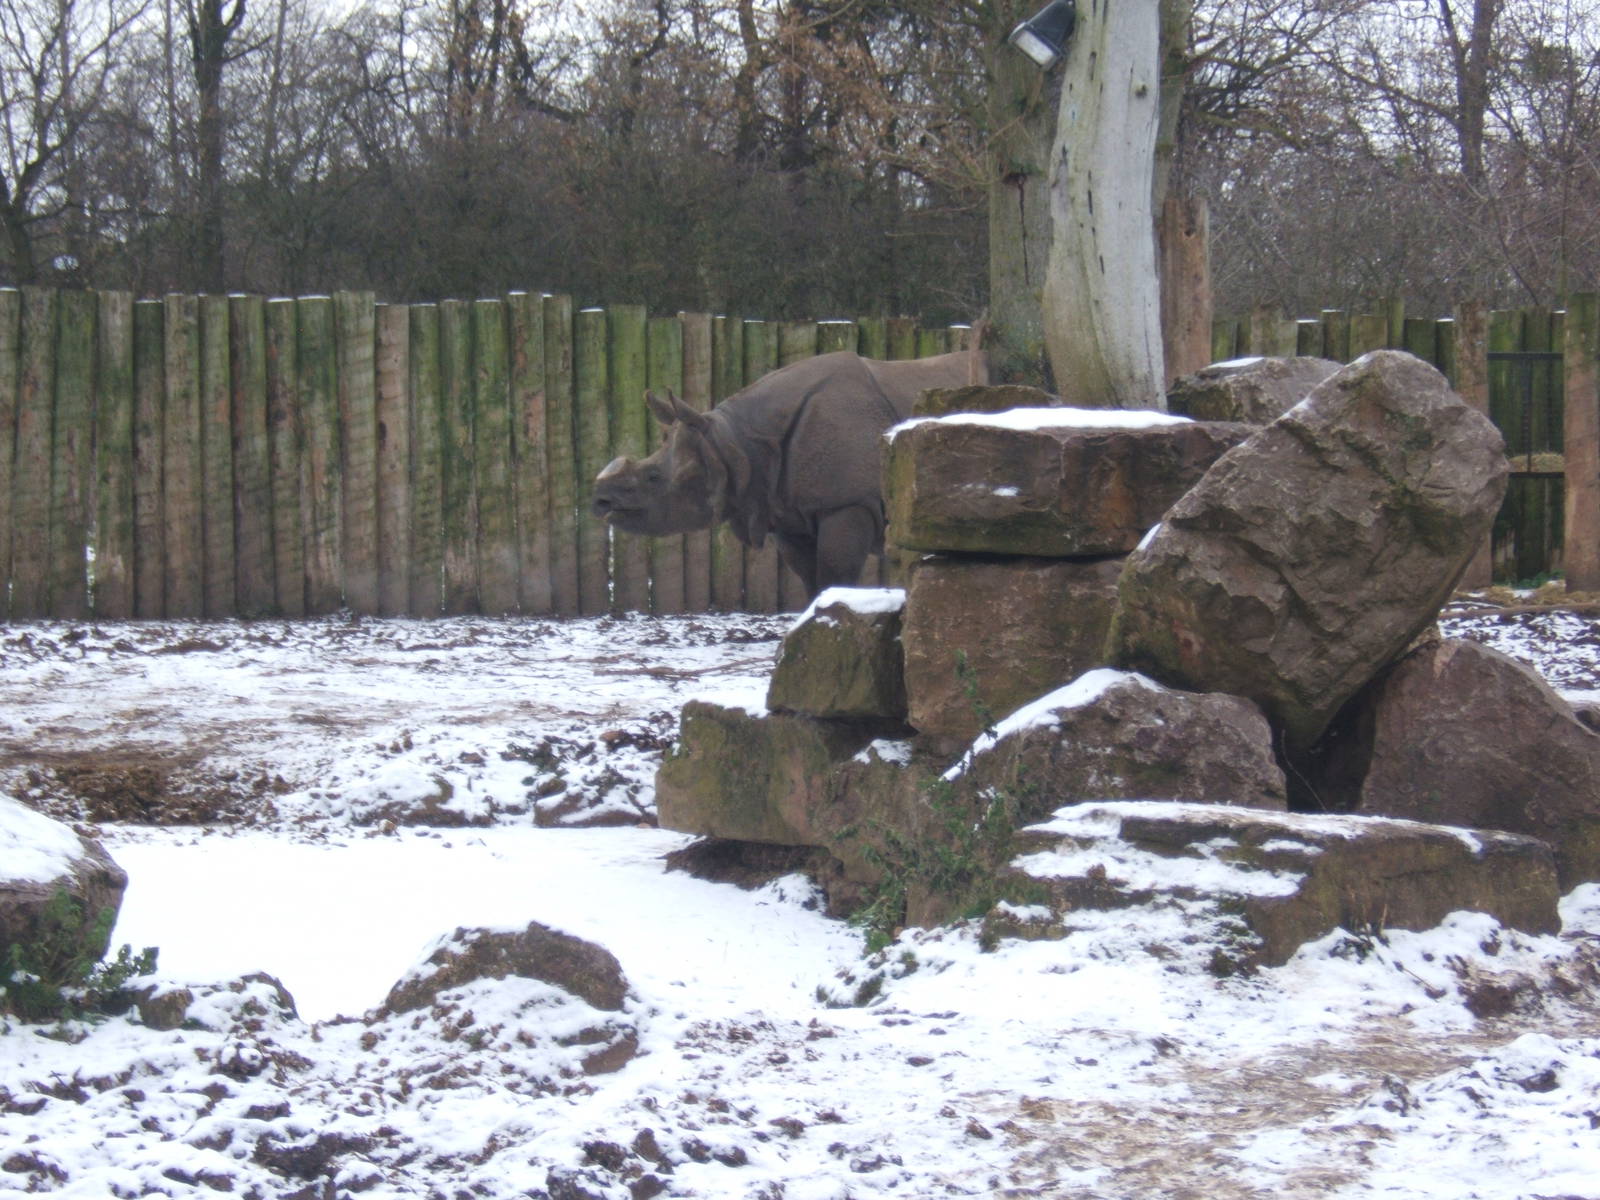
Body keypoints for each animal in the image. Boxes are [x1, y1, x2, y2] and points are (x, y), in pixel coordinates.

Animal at [592, 343, 987, 598]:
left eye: (653, 478)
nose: (601, 501)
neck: (735, 446)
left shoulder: (848, 505)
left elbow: (834, 575)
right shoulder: (786, 514)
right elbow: (811, 581)